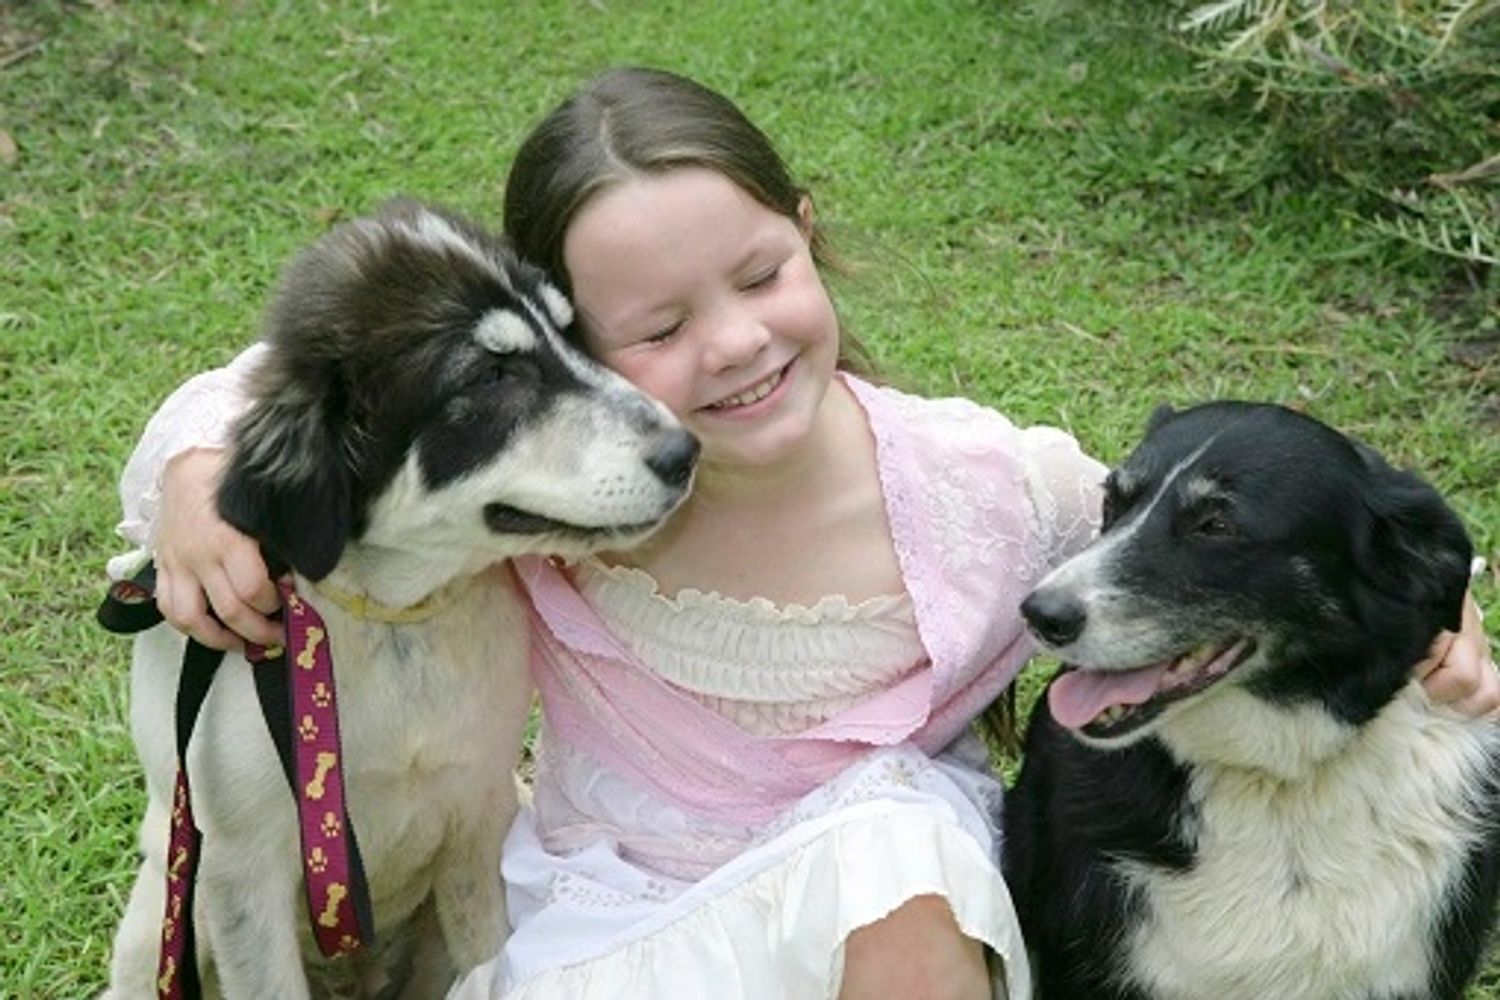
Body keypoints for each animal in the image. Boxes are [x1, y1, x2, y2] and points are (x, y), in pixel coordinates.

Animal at [107, 199, 702, 995]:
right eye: (491, 376)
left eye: (570, 333)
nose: (685, 452)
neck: (393, 621)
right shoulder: (240, 874)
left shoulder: (480, 817)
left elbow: (491, 958)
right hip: (165, 916)